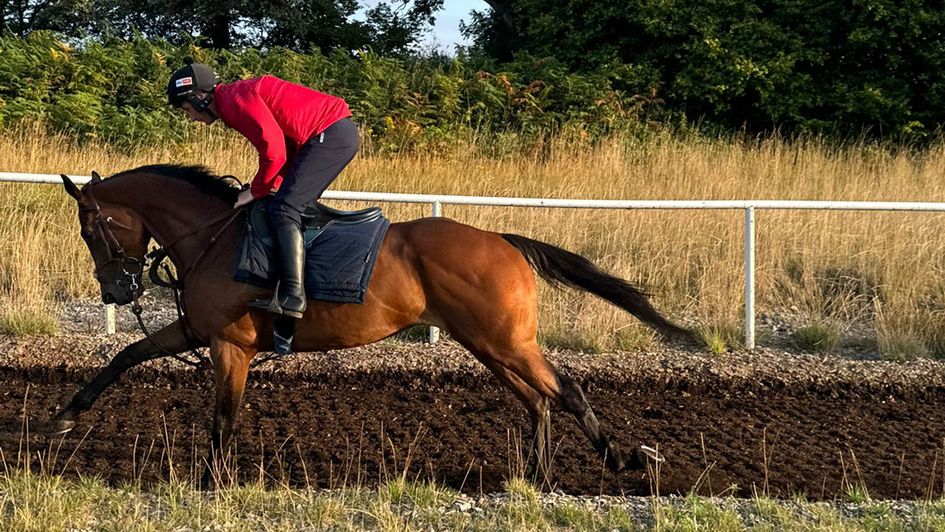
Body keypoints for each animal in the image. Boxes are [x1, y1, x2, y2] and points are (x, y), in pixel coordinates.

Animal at [53, 164, 692, 484]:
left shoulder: (231, 345)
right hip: (487, 342)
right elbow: (125, 355)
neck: (213, 236)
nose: (117, 290)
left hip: (505, 340)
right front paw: (63, 415)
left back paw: (619, 460)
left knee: (566, 390)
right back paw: (533, 475)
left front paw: (213, 481)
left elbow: (224, 417)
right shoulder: (198, 331)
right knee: (537, 399)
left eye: (90, 228)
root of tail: (503, 241)